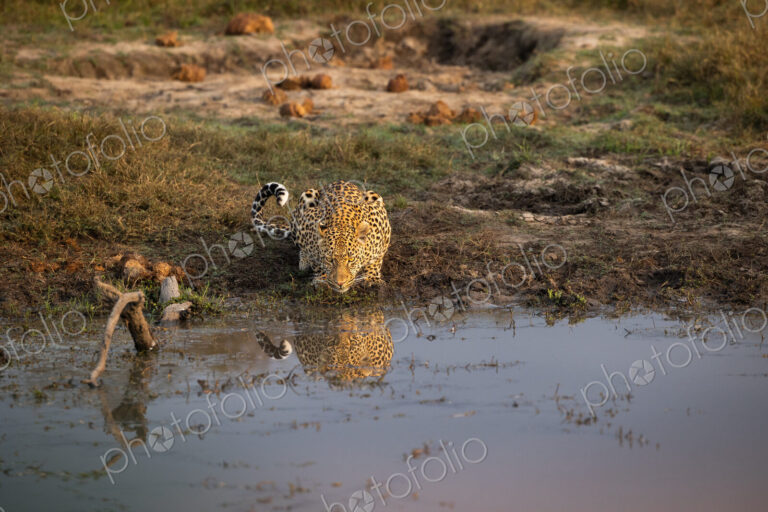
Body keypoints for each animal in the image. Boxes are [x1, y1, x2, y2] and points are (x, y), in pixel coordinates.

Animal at [250, 181, 391, 293]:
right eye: (330, 259)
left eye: (351, 260)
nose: (340, 283)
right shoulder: (306, 223)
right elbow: (316, 261)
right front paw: (322, 279)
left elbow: (376, 261)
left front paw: (372, 278)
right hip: (306, 197)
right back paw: (304, 262)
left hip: (374, 195)